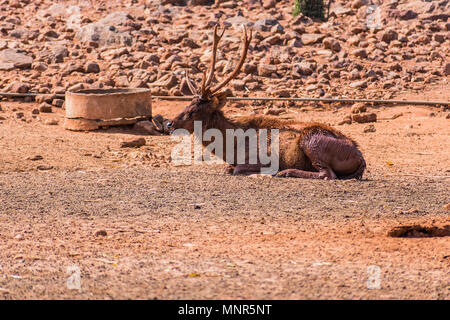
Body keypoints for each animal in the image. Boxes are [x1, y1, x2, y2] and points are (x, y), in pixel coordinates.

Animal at [167, 24, 368, 180]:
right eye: (186, 104)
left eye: (194, 110)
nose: (169, 123)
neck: (232, 148)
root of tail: (361, 158)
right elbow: (228, 169)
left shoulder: (258, 158)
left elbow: (237, 169)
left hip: (313, 142)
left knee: (327, 174)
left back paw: (285, 172)